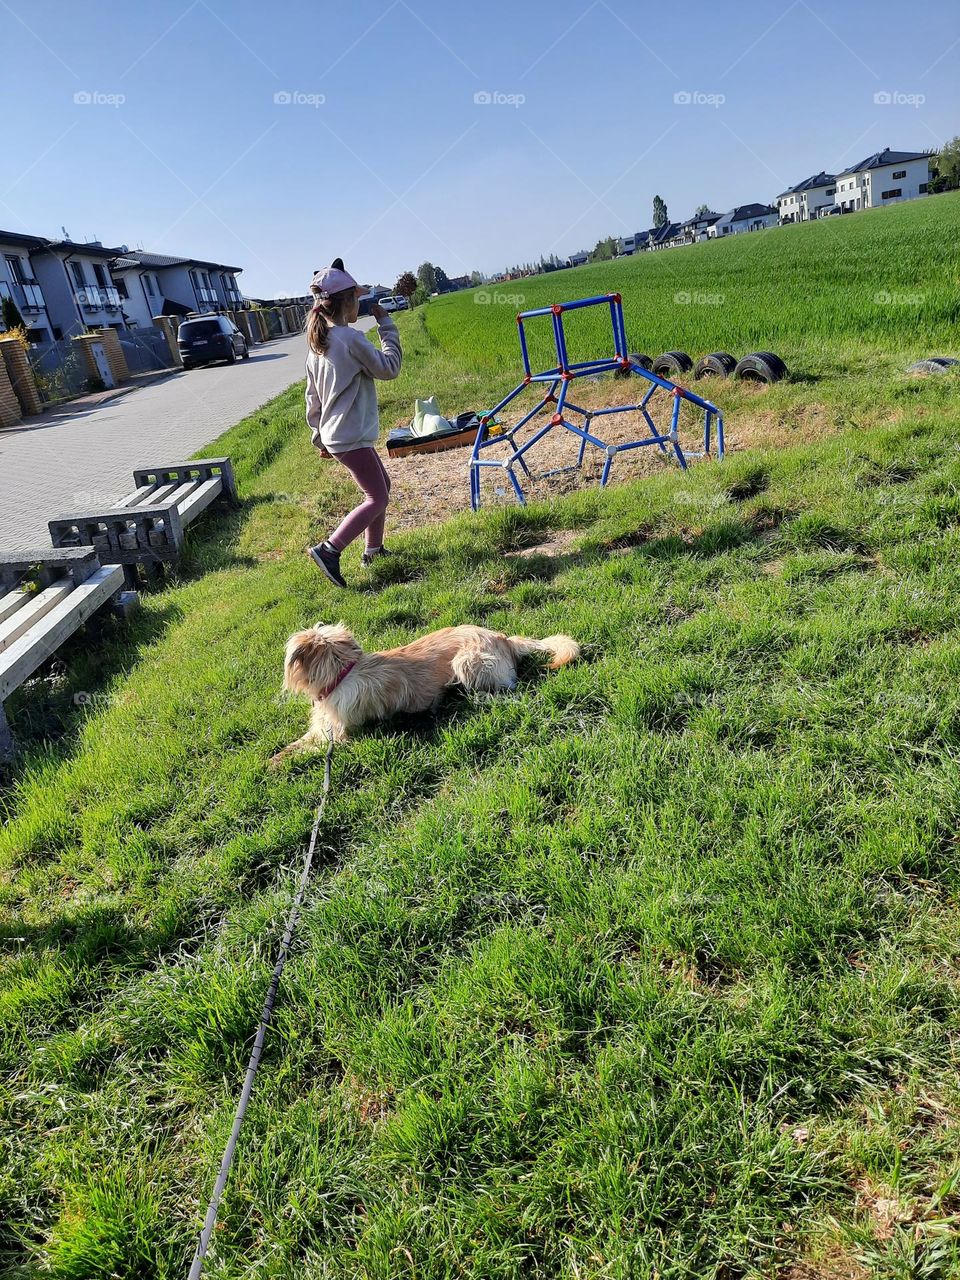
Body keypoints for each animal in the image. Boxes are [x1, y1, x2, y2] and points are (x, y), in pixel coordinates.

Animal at [273, 622, 583, 752]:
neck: (343, 672)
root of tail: (504, 639)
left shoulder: (339, 735)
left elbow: (301, 751)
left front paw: (276, 764)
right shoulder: (323, 727)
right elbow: (298, 743)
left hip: (467, 661)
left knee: (505, 692)